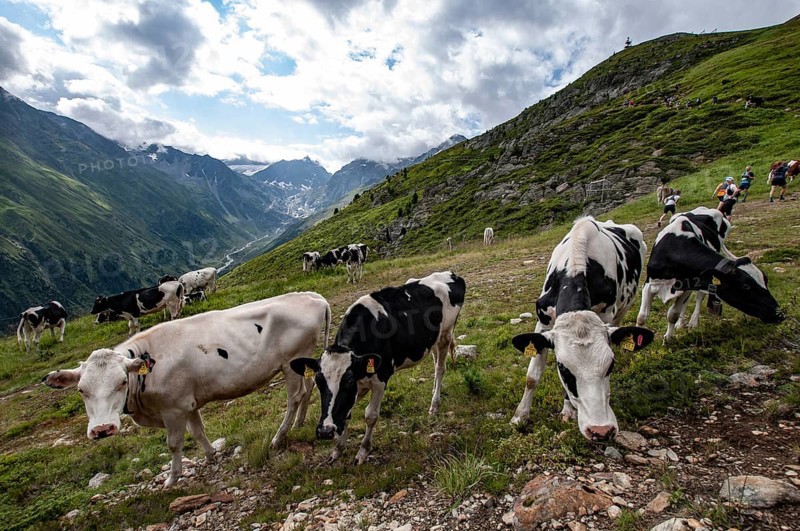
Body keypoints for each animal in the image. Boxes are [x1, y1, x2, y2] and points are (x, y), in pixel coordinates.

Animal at [43, 292, 331, 488]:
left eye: (122, 381)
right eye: (81, 390)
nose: (103, 429)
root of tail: (312, 296)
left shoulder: (173, 409)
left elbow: (174, 444)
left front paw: (172, 478)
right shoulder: (188, 404)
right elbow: (198, 431)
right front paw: (211, 457)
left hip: (290, 363)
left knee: (294, 398)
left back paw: (279, 437)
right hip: (300, 362)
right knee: (307, 389)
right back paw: (298, 424)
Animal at [290, 271, 466, 464]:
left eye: (348, 380)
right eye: (319, 382)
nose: (325, 431)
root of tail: (450, 274)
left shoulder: (380, 377)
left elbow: (370, 415)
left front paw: (363, 451)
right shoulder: (359, 384)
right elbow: (346, 414)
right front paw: (337, 450)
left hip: (445, 335)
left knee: (440, 369)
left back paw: (434, 406)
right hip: (432, 340)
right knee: (435, 365)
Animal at [510, 217, 654, 442]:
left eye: (610, 365)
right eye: (563, 368)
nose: (601, 431)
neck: (575, 267)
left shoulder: (606, 315)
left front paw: (568, 409)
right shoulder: (543, 321)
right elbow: (532, 376)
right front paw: (520, 417)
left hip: (624, 307)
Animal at [636, 206, 784, 340]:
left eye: (765, 280)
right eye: (745, 286)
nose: (780, 315)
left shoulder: (689, 286)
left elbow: (673, 314)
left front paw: (667, 338)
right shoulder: (649, 283)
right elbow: (642, 317)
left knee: (697, 299)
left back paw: (692, 322)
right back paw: (681, 324)